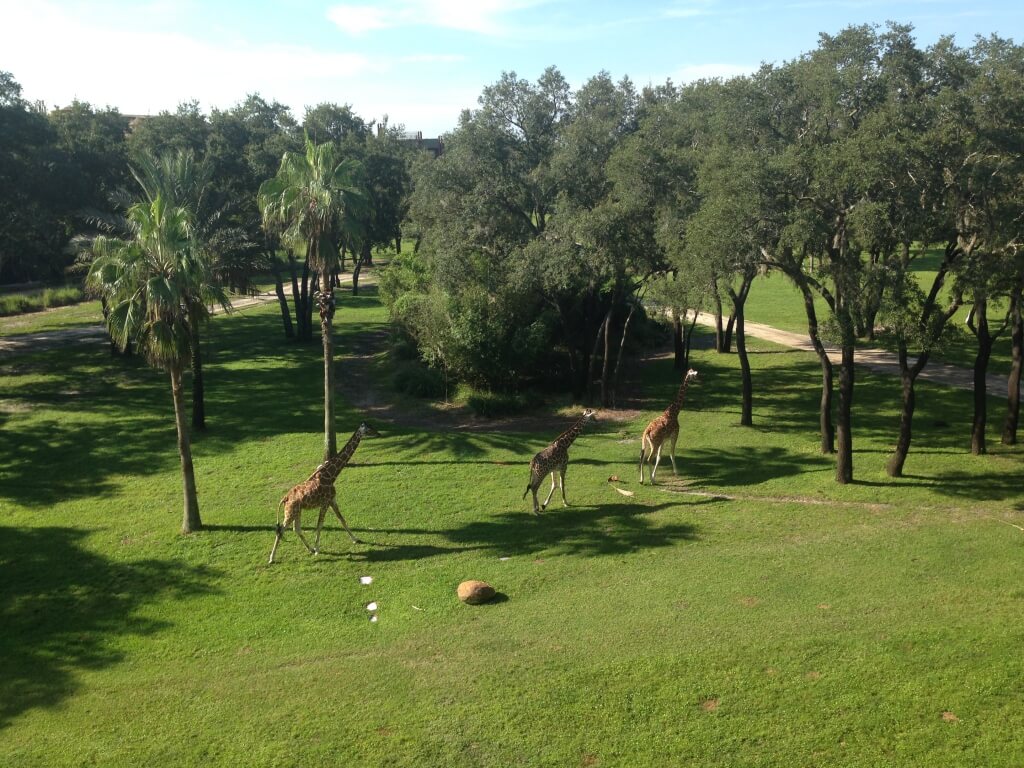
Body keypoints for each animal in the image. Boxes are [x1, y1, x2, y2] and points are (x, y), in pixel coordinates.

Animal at [270, 421, 382, 565]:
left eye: (372, 427)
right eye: (369, 429)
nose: (379, 433)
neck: (332, 474)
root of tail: (285, 498)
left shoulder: (332, 500)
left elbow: (342, 519)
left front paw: (355, 539)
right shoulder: (324, 503)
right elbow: (320, 524)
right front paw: (318, 549)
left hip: (297, 511)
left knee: (296, 529)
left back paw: (310, 549)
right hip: (290, 512)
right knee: (281, 530)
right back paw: (272, 558)